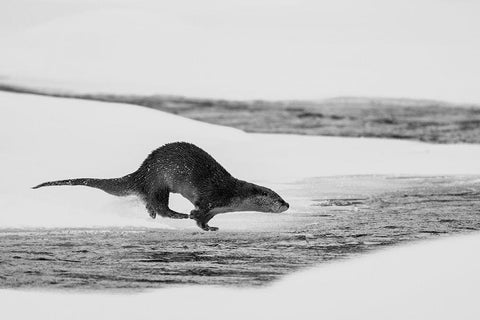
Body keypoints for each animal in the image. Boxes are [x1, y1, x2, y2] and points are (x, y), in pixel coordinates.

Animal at [34, 142, 288, 230]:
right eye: (277, 198)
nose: (287, 204)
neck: (231, 194)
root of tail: (141, 172)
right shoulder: (211, 198)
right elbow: (199, 213)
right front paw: (196, 219)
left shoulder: (216, 208)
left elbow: (205, 219)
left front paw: (210, 227)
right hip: (159, 181)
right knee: (160, 204)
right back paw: (177, 214)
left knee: (150, 203)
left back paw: (153, 214)